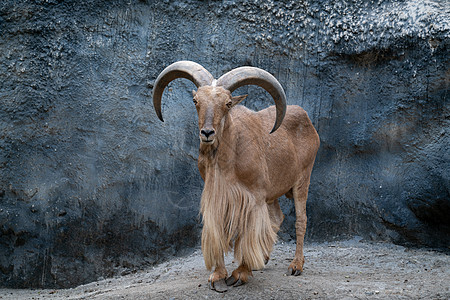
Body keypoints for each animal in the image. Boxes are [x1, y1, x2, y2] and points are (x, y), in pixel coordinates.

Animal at [154, 61, 320, 292]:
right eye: (196, 101)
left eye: (228, 103)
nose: (207, 133)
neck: (227, 160)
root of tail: (307, 120)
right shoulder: (218, 197)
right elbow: (220, 231)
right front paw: (218, 276)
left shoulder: (253, 197)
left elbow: (247, 232)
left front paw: (241, 273)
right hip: (273, 193)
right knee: (277, 217)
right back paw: (263, 259)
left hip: (302, 180)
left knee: (300, 220)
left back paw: (296, 265)